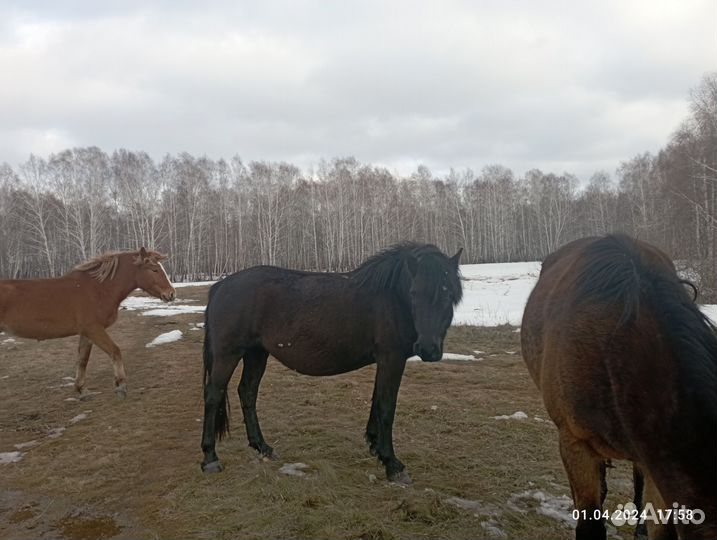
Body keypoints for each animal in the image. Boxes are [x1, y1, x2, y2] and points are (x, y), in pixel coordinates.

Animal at [0, 248, 176, 399]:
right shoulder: (94, 329)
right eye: (154, 269)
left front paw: (81, 389)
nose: (171, 294)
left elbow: (83, 360)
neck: (98, 288)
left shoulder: (86, 333)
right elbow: (115, 351)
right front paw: (121, 386)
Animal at [200, 243, 462, 483]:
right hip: (229, 354)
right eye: (414, 293)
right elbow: (387, 408)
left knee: (247, 392)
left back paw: (262, 446)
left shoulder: (384, 362)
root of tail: (220, 286)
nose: (428, 349)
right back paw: (210, 458)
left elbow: (377, 402)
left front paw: (375, 446)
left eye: (448, 294)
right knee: (213, 394)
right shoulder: (392, 359)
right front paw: (392, 464)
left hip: (256, 353)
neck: (392, 297)